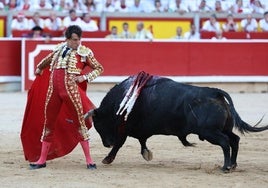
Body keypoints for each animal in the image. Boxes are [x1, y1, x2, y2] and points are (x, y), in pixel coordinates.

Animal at [86, 71, 268, 172]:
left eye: (98, 125)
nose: (106, 144)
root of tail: (215, 92)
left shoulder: (123, 129)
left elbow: (120, 143)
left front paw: (107, 159)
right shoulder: (138, 130)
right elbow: (142, 141)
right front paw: (146, 154)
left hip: (210, 132)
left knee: (225, 142)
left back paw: (225, 167)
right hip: (223, 129)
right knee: (234, 140)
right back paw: (233, 165)